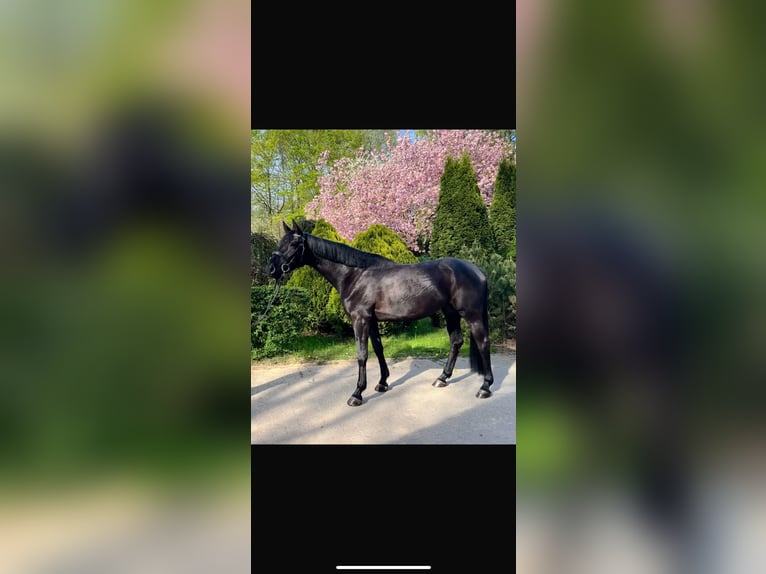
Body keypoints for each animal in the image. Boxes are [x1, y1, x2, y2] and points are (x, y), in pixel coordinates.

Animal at [268, 220, 494, 406]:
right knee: (456, 341)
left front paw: (357, 394)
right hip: (450, 313)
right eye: (281, 243)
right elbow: (378, 349)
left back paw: (484, 388)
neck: (355, 275)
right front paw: (382, 383)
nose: (272, 269)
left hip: (472, 315)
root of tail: (478, 271)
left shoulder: (360, 320)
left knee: (483, 343)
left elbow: (362, 354)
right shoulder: (372, 321)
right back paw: (442, 378)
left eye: (294, 244)